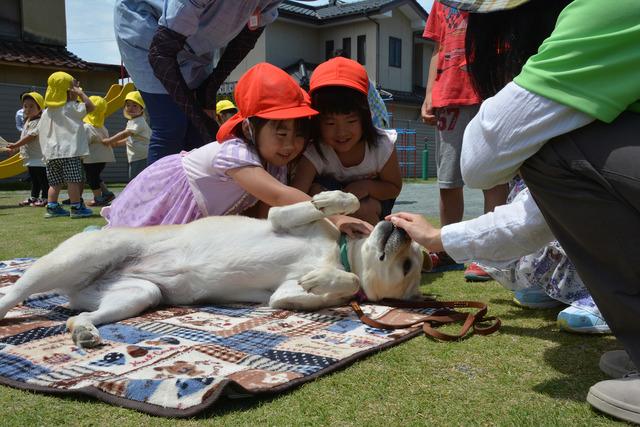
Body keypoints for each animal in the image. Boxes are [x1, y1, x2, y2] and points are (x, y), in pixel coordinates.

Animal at [0, 192, 422, 350]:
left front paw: (323, 279)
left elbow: (340, 285)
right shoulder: (281, 217)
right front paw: (338, 199)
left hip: (138, 294)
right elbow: (331, 204)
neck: (338, 255)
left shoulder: (283, 296)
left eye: (408, 263)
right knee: (13, 292)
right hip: (78, 258)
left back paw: (84, 330)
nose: (401, 228)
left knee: (79, 317)